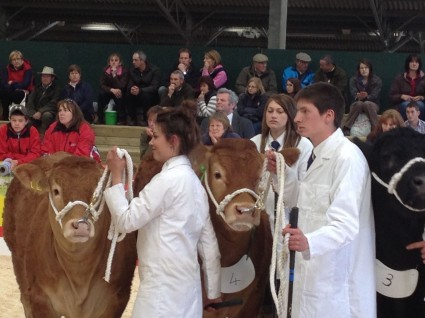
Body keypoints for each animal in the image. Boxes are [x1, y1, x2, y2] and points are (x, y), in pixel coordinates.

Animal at [2, 153, 137, 316]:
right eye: (55, 191)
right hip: (18, 262)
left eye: (98, 192)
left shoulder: (115, 300)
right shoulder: (39, 298)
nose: (80, 225)